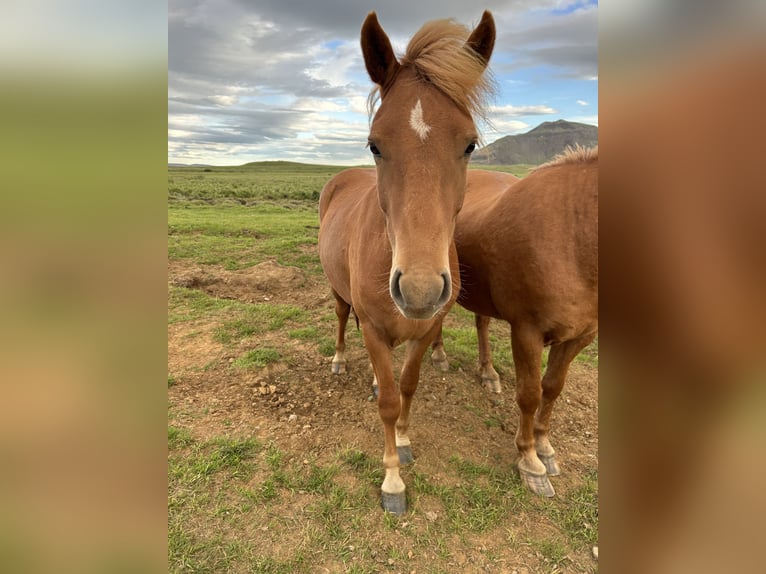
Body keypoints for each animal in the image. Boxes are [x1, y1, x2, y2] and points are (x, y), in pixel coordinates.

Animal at [318, 11, 498, 516]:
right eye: (374, 145)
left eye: (470, 144)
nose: (419, 290)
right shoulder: (377, 333)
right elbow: (389, 404)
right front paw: (392, 480)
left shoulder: (423, 331)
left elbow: (408, 387)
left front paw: (402, 442)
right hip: (339, 295)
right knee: (342, 319)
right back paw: (340, 359)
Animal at [432, 147, 600, 500]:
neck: (574, 234)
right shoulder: (527, 331)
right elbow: (530, 393)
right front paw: (530, 460)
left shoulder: (579, 337)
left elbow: (552, 388)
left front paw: (545, 447)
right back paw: (439, 355)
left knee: (482, 324)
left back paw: (488, 373)